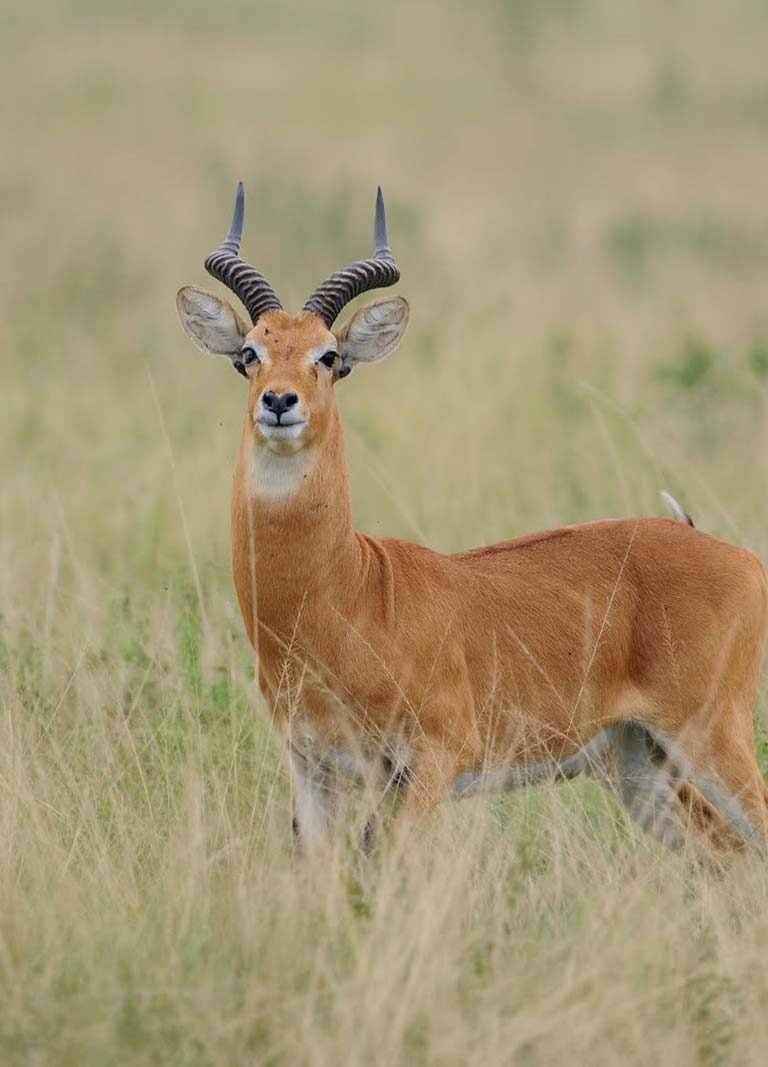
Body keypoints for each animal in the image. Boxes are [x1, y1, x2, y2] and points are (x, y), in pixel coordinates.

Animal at [177, 181, 768, 849]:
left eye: (329, 356)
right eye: (248, 352)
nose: (280, 401)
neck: (348, 595)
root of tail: (736, 556)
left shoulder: (435, 761)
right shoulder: (313, 769)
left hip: (712, 738)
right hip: (639, 762)